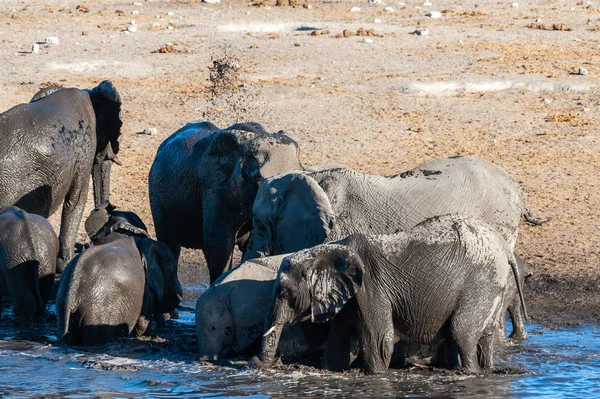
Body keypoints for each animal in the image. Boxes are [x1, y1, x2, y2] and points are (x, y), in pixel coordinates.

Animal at [251, 216, 528, 376]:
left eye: (284, 292)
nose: (257, 362)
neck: (327, 250)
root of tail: (505, 247)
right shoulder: (350, 296)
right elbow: (337, 345)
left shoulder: (371, 286)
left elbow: (378, 342)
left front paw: (377, 377)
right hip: (493, 284)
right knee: (485, 337)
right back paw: (489, 371)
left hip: (482, 279)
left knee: (462, 332)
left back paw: (471, 374)